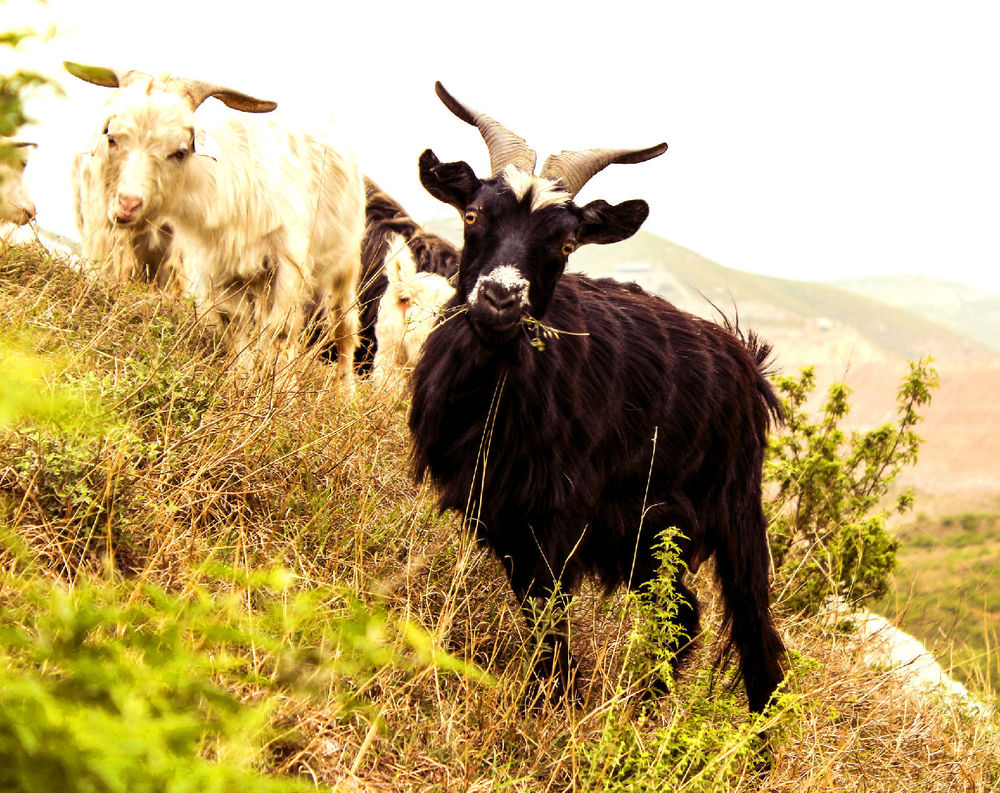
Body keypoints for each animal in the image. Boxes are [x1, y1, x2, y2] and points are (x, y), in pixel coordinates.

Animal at [65, 60, 368, 388]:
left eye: (180, 151)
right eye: (112, 138)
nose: (127, 205)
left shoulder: (289, 261)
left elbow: (281, 332)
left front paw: (281, 389)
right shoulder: (218, 268)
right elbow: (235, 325)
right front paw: (240, 379)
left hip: (346, 263)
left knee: (343, 326)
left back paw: (344, 390)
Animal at [410, 83, 784, 716]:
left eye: (565, 243)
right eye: (473, 215)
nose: (500, 298)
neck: (496, 392)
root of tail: (743, 359)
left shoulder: (559, 519)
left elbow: (548, 617)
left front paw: (546, 709)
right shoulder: (501, 512)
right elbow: (540, 610)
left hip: (731, 509)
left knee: (753, 628)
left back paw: (750, 733)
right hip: (644, 534)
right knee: (682, 615)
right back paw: (645, 709)